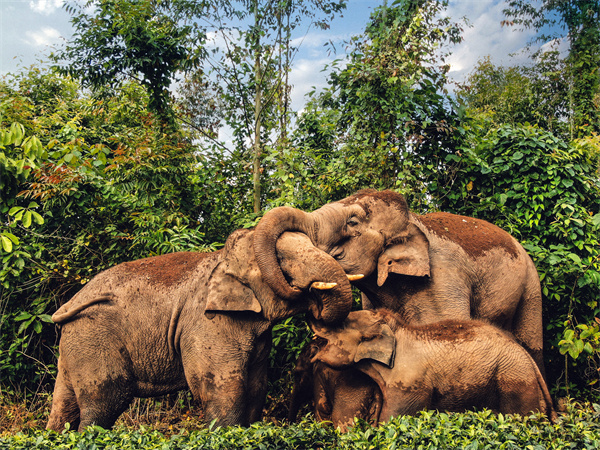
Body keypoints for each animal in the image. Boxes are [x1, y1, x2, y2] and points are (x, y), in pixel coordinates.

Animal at [46, 230, 354, 431]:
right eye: (282, 258)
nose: (316, 312)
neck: (226, 258)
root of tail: (67, 305)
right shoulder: (207, 321)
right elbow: (221, 387)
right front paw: (226, 435)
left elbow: (257, 387)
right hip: (94, 338)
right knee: (105, 401)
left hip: (75, 343)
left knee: (64, 403)